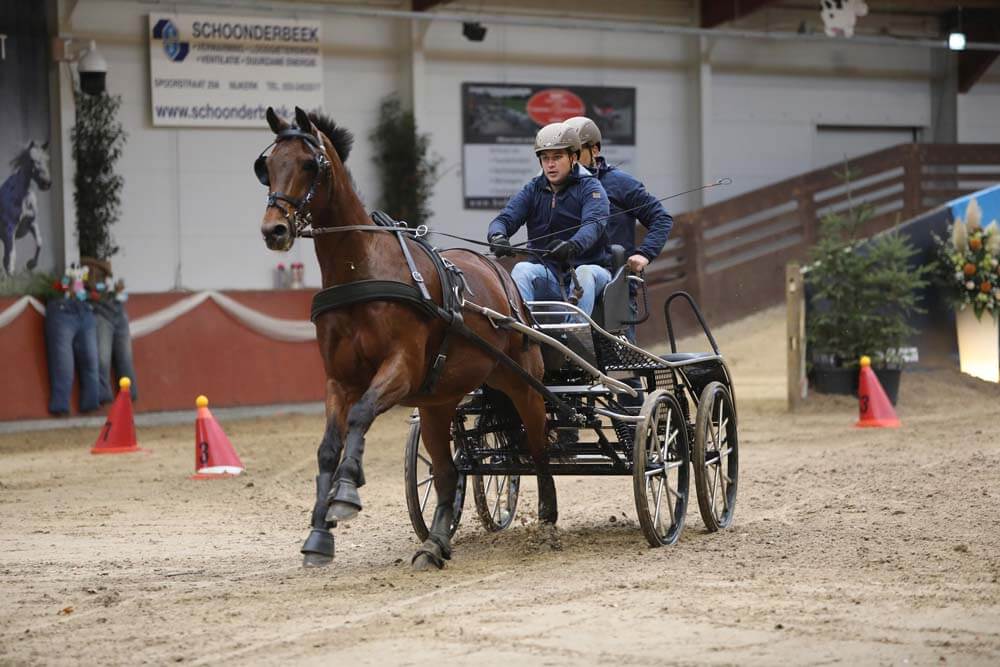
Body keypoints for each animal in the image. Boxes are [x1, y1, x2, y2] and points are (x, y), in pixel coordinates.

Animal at [256, 107, 556, 572]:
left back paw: (546, 522)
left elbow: (362, 414)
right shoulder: (339, 380)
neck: (361, 269)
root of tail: (503, 277)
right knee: (449, 472)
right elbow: (327, 448)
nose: (274, 230)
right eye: (266, 166)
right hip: (438, 404)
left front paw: (346, 492)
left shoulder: (401, 368)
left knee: (539, 449)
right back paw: (434, 544)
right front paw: (319, 533)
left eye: (308, 164)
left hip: (524, 384)